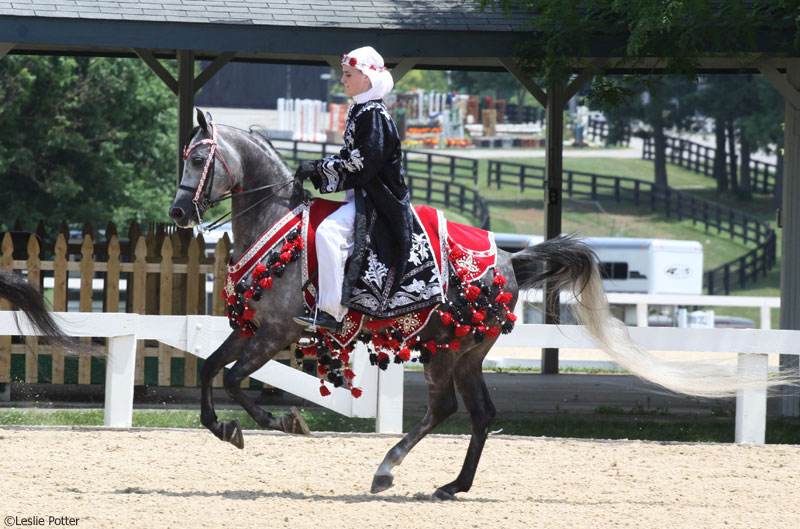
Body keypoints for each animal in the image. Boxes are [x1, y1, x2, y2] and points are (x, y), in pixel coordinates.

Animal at [169, 108, 776, 500]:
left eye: (199, 157)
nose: (177, 212)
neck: (278, 225)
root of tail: (508, 260)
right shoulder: (252, 329)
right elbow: (208, 369)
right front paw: (223, 428)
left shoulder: (277, 332)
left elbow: (232, 380)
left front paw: (279, 421)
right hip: (464, 353)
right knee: (480, 414)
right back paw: (452, 485)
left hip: (446, 351)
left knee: (445, 410)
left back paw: (388, 471)